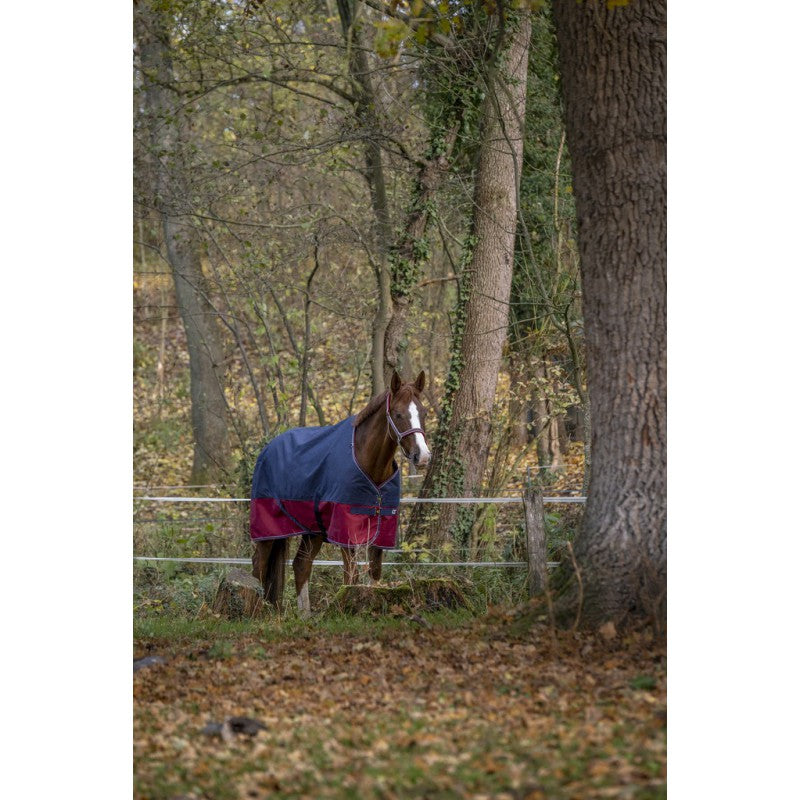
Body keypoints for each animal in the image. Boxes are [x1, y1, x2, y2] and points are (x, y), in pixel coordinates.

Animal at [250, 370, 431, 613]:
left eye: (424, 412)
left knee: (301, 564)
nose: (423, 456)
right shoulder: (346, 529)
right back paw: (255, 611)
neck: (369, 464)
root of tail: (268, 448)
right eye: (399, 414)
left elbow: (375, 572)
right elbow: (351, 576)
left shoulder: (382, 527)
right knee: (258, 566)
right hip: (269, 529)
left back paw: (305, 615)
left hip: (314, 529)